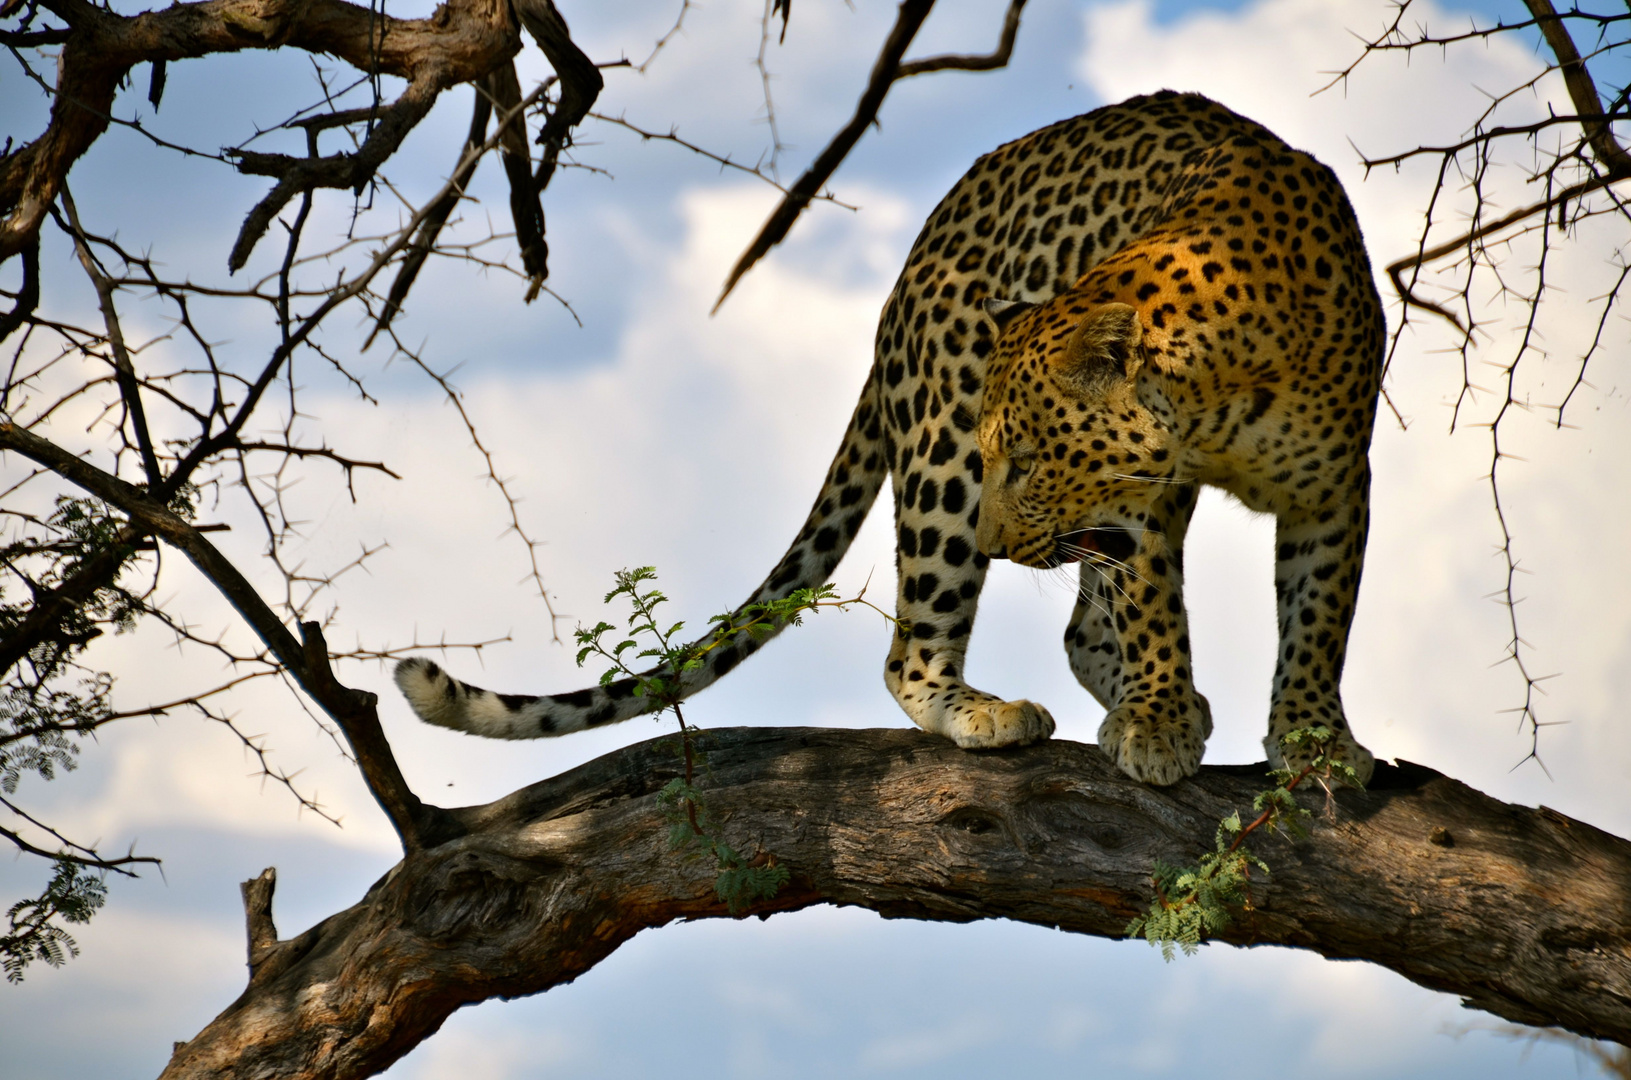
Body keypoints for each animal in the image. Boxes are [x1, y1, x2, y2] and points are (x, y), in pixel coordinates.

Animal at [394, 90, 1376, 786]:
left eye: (1029, 460)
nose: (996, 540)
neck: (1219, 391)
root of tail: (912, 260)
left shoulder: (1336, 485)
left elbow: (1317, 617)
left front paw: (1314, 740)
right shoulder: (1145, 499)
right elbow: (1154, 611)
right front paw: (1158, 719)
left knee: (1078, 627)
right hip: (940, 448)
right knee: (914, 649)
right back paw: (981, 709)